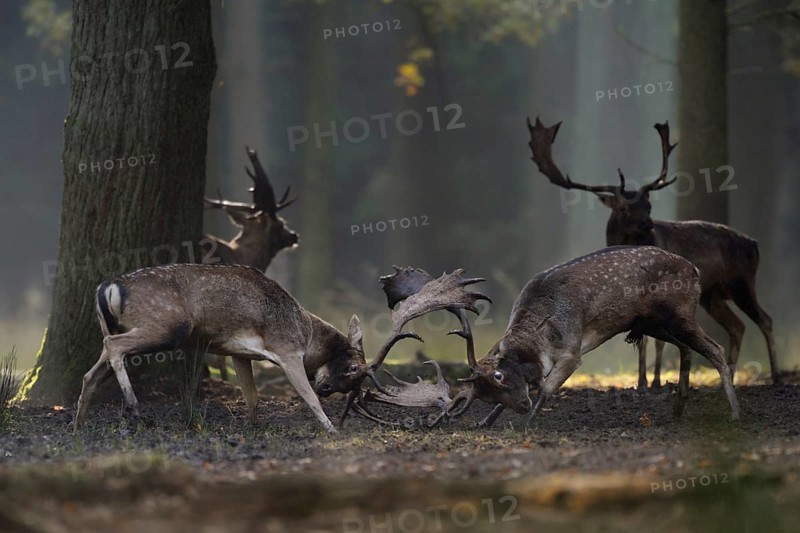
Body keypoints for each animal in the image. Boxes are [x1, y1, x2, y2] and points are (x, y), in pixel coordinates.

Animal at [74, 265, 485, 432]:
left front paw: (254, 425)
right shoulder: (286, 350)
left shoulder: (238, 352)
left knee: (92, 368)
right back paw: (133, 407)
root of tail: (107, 287)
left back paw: (79, 420)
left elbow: (253, 395)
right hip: (168, 325)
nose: (328, 387)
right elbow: (305, 395)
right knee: (114, 345)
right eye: (353, 370)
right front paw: (329, 428)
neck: (306, 332)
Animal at [447, 246, 741, 429]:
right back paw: (678, 409)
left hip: (679, 314)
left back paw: (735, 412)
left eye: (499, 376)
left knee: (715, 349)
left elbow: (545, 389)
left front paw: (527, 426)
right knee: (686, 348)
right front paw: (484, 422)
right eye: (486, 394)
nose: (521, 407)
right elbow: (533, 386)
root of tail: (695, 271)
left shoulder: (571, 351)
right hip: (652, 323)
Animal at [527, 116, 780, 387]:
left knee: (764, 319)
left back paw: (776, 376)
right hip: (713, 295)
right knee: (737, 326)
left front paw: (655, 381)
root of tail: (754, 244)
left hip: (741, 282)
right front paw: (642, 381)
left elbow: (656, 340)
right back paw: (730, 377)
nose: (648, 223)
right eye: (625, 208)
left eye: (648, 205)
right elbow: (646, 338)